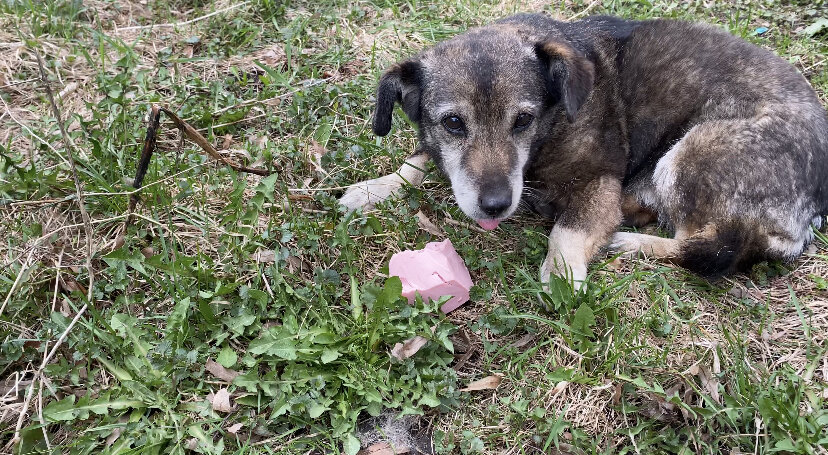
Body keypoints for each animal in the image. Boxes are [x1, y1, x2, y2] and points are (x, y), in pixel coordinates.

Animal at [338, 15, 828, 292]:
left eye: (523, 120)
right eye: (453, 123)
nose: (495, 205)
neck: (550, 129)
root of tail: (812, 207)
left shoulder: (598, 183)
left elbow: (568, 230)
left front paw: (560, 272)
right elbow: (417, 160)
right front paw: (373, 189)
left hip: (691, 151)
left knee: (709, 243)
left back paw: (632, 240)